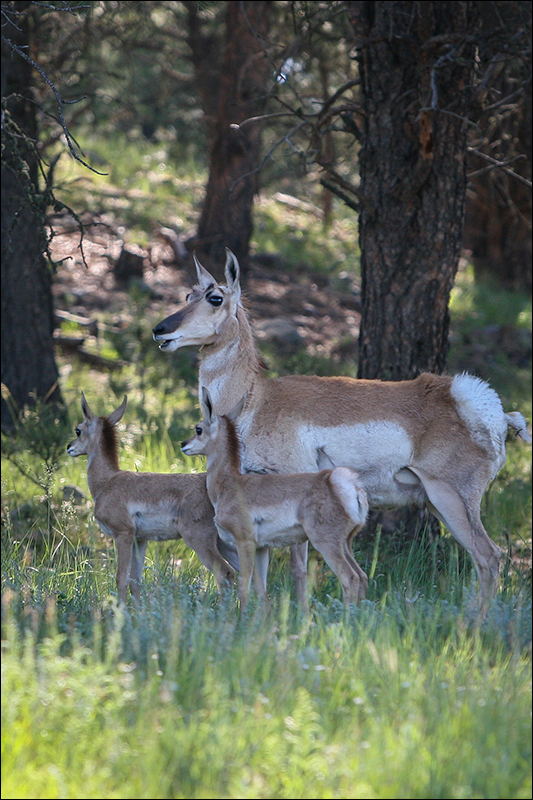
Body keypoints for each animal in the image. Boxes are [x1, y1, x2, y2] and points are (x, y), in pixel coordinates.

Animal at [66, 393, 239, 604]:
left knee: (225, 574)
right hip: (224, 544)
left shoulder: (123, 534)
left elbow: (121, 579)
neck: (107, 481)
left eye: (78, 430)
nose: (69, 447)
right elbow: (135, 581)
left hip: (200, 540)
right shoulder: (140, 540)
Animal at [181, 388, 369, 610]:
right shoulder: (262, 548)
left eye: (199, 429)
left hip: (326, 542)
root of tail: (341, 483)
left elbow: (244, 586)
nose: (183, 444)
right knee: (362, 576)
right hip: (346, 542)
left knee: (350, 578)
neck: (229, 484)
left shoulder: (245, 542)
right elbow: (261, 590)